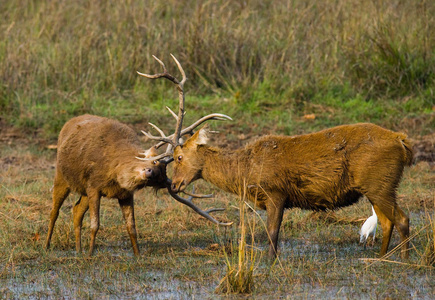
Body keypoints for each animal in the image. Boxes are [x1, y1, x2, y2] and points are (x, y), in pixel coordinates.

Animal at [46, 54, 233, 255]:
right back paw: (47, 245)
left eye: (156, 179)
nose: (149, 173)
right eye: (155, 163)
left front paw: (136, 255)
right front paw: (90, 254)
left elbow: (131, 228)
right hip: (61, 175)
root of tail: (68, 123)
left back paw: (78, 249)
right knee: (54, 210)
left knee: (76, 210)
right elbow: (95, 225)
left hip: (81, 189)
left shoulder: (124, 194)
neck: (112, 171)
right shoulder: (93, 185)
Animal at [169, 123, 414, 258]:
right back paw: (381, 257)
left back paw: (404, 259)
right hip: (377, 187)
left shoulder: (275, 193)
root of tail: (402, 142)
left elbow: (272, 232)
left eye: (178, 157)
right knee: (387, 222)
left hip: (380, 184)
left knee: (402, 219)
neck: (245, 171)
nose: (174, 184)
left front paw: (271, 261)